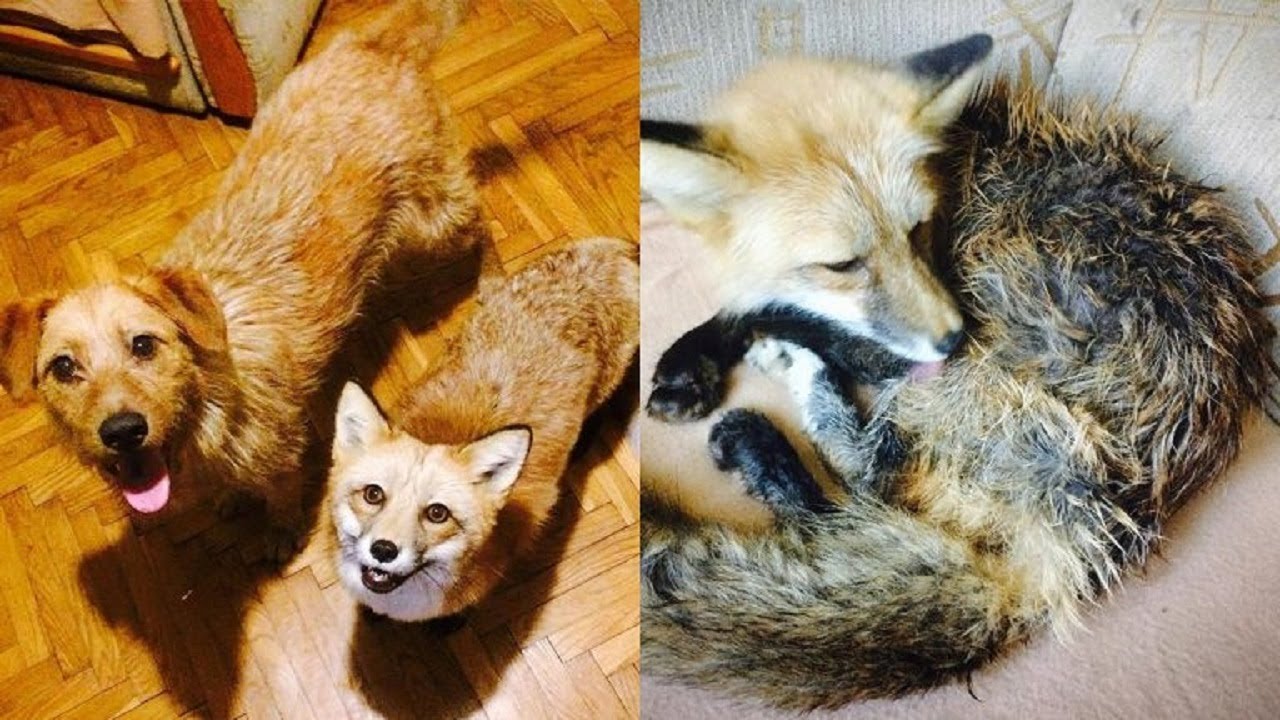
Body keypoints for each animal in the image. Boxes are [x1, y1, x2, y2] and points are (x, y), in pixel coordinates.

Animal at [639, 34, 1275, 709]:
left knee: (868, 476)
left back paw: (777, 405)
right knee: (850, 506)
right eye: (842, 263)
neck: (958, 164)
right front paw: (695, 361)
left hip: (978, 376)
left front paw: (716, 348)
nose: (951, 338)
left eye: (918, 229)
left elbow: (774, 309)